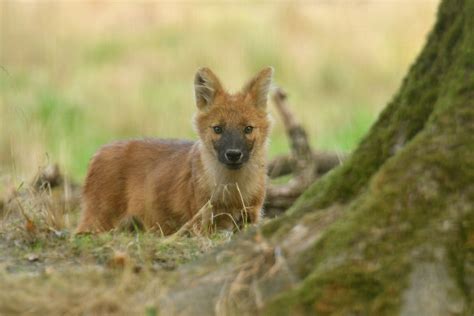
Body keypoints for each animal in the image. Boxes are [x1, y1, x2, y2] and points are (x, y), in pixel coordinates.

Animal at [76, 67, 272, 235]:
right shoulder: (201, 222)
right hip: (99, 223)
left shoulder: (252, 216)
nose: (233, 154)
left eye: (248, 129)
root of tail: (100, 150)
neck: (232, 191)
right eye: (218, 129)